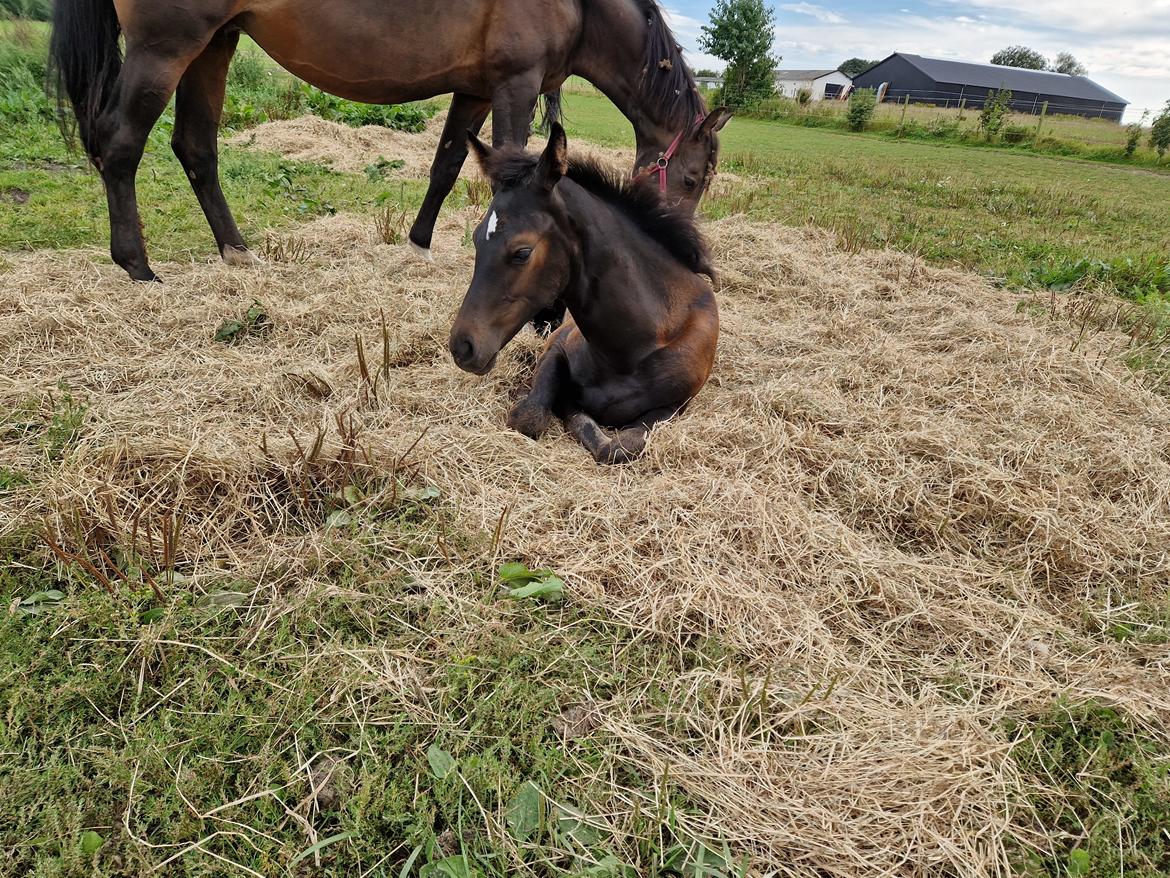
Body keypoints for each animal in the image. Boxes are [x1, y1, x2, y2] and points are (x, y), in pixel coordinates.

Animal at [54, 0, 730, 282]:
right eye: (692, 178)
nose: (686, 258)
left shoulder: (474, 90)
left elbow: (448, 165)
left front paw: (419, 242)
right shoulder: (514, 87)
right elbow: (511, 166)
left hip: (214, 44)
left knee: (196, 148)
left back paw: (238, 252)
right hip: (165, 48)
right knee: (120, 145)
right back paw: (137, 267)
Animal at [449, 127, 716, 468]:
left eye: (522, 252)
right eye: (475, 238)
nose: (462, 347)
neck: (633, 348)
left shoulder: (676, 405)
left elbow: (620, 446)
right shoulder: (557, 349)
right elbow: (531, 416)